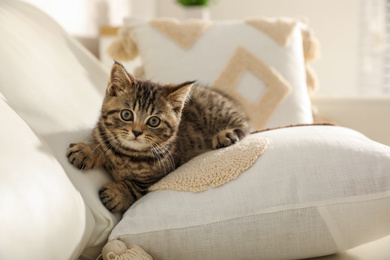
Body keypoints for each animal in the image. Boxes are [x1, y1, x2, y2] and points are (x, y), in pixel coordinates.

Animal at [66, 62, 250, 212]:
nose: (137, 132)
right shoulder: (103, 134)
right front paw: (86, 151)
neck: (126, 155)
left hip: (216, 110)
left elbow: (135, 186)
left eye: (154, 121)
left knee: (245, 123)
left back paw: (227, 134)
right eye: (127, 114)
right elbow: (101, 144)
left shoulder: (159, 175)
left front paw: (117, 194)